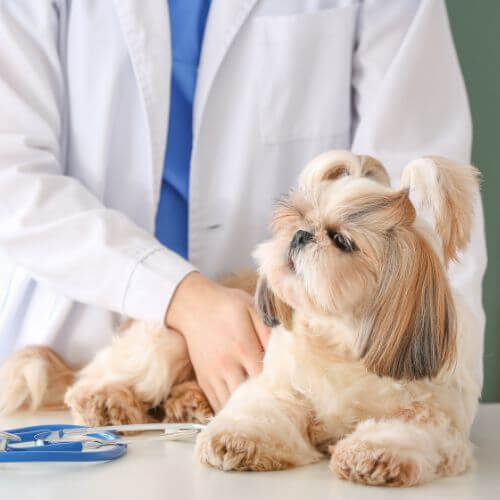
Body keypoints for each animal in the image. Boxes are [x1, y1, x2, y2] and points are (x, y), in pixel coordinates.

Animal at [0, 150, 484, 486]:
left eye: (343, 240)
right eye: (298, 219)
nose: (300, 236)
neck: (342, 342)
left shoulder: (432, 416)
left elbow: (399, 432)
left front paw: (373, 457)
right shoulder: (278, 389)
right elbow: (258, 415)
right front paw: (235, 441)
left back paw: (188, 401)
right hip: (167, 341)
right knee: (97, 380)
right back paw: (109, 402)